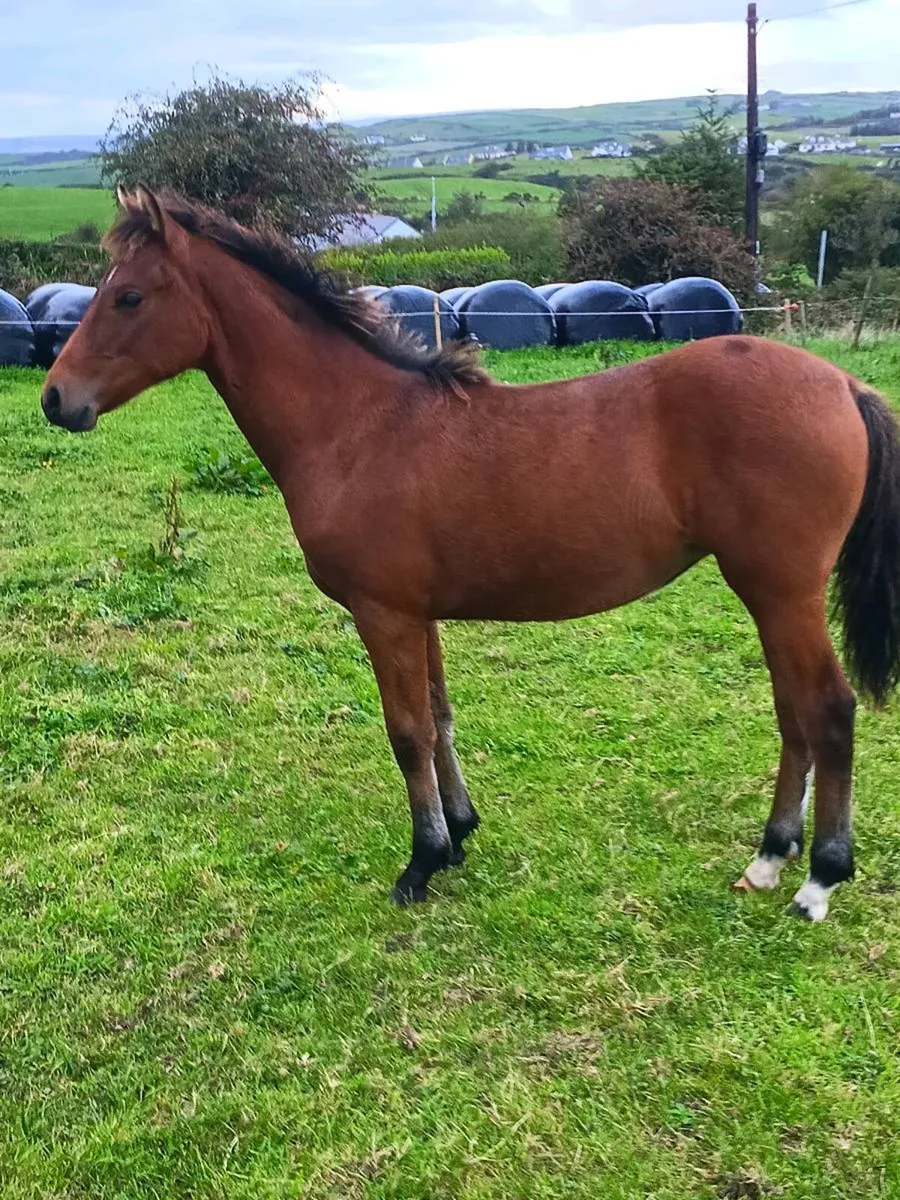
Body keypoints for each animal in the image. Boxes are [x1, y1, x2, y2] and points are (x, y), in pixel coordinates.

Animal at [41, 186, 900, 921]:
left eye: (128, 296)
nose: (56, 398)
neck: (359, 425)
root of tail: (844, 385)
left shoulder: (383, 613)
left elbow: (406, 731)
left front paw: (421, 862)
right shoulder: (416, 612)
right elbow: (441, 719)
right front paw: (458, 833)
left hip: (781, 589)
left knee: (827, 710)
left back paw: (819, 878)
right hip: (769, 593)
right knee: (793, 713)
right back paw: (769, 858)